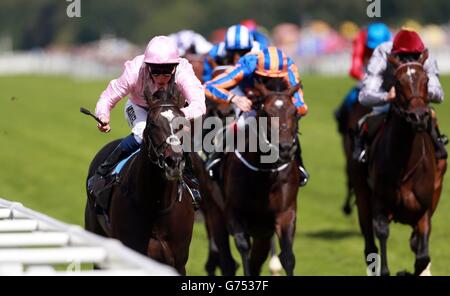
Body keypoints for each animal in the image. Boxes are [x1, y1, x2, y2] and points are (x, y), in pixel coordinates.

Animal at [356, 51, 446, 276]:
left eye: (426, 80)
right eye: (398, 82)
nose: (418, 116)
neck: (406, 162)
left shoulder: (424, 210)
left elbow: (422, 257)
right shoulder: (380, 204)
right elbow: (381, 237)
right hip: (362, 192)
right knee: (370, 246)